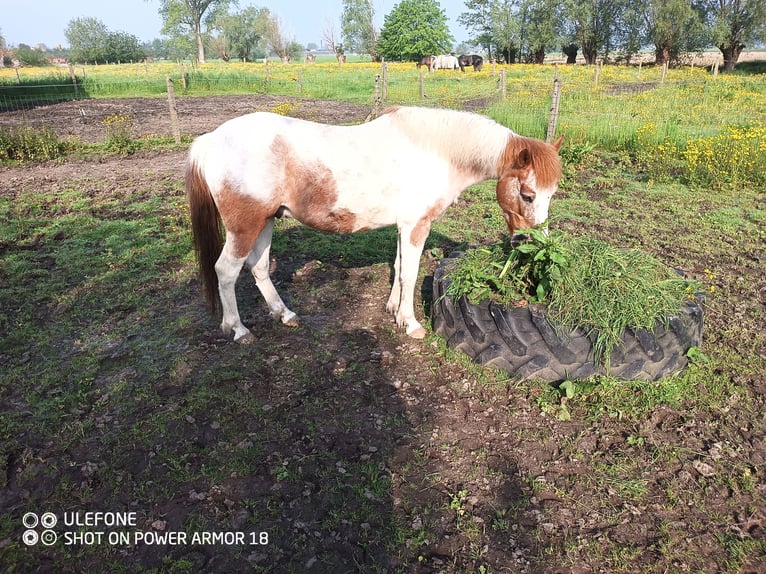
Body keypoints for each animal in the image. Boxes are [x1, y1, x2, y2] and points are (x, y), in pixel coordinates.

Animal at [188, 106, 564, 344]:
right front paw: (410, 324)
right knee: (225, 271)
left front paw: (394, 311)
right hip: (244, 227)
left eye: (552, 194)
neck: (435, 152)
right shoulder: (416, 225)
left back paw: (285, 314)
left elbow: (398, 267)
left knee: (259, 268)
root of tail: (210, 140)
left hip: (265, 222)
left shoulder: (403, 226)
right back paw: (238, 330)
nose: (532, 244)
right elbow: (410, 273)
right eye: (528, 195)